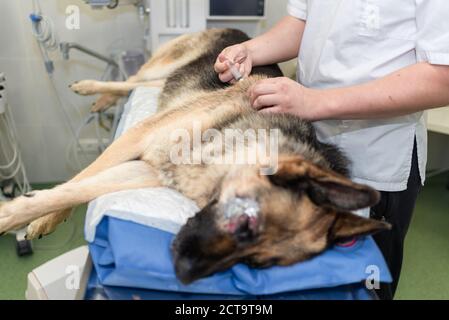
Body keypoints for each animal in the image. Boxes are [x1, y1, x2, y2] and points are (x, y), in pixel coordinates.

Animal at [0, 28, 388, 284]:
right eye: (244, 221)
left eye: (258, 264)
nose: (184, 276)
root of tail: (240, 31)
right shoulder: (137, 139)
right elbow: (76, 182)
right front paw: (26, 217)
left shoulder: (147, 169)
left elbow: (80, 189)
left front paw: (40, 213)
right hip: (165, 66)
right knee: (134, 76)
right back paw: (93, 89)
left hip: (166, 82)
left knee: (137, 85)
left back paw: (103, 98)